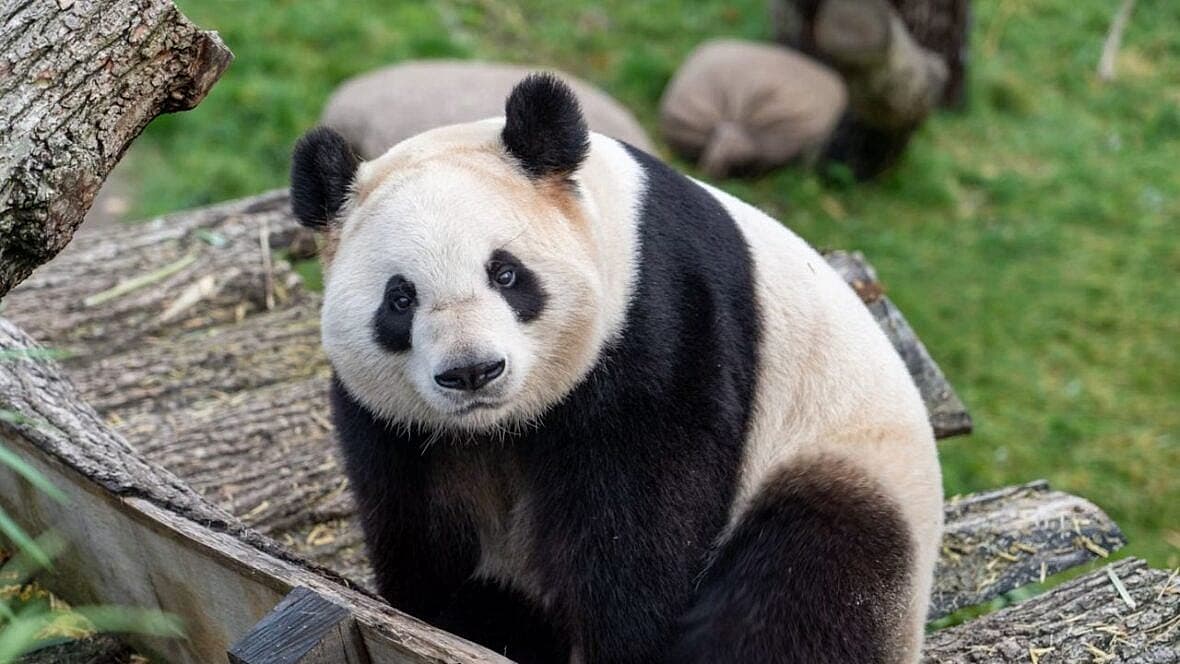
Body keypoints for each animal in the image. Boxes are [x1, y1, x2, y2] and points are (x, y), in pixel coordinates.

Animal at [290, 74, 943, 664]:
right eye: (400, 298)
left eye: (506, 273)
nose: (472, 371)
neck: (498, 426)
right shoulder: (395, 423)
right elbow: (417, 519)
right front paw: (462, 618)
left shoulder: (660, 319)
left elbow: (642, 512)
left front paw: (624, 637)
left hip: (845, 460)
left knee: (807, 580)